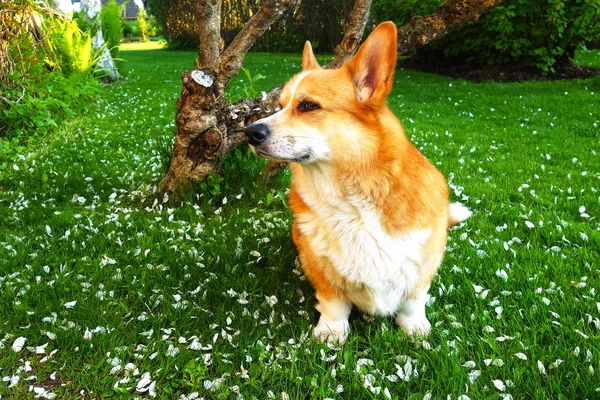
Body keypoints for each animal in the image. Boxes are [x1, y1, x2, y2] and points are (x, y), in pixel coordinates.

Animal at [246, 21, 472, 344]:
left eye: (308, 106)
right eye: (279, 105)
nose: (249, 132)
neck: (353, 199)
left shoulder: (423, 264)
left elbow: (414, 299)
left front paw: (414, 326)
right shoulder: (321, 267)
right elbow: (333, 302)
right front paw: (331, 332)